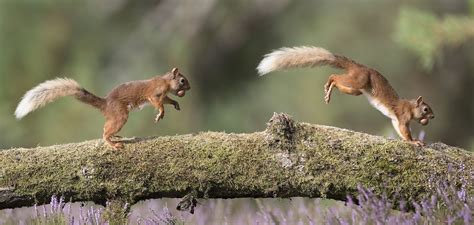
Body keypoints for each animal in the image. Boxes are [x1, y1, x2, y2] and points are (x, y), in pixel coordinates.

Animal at [14, 67, 191, 150]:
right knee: (105, 131)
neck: (166, 81)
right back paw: (112, 143)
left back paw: (115, 137)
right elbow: (158, 102)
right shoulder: (155, 94)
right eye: (182, 80)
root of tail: (105, 103)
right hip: (120, 115)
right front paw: (161, 113)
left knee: (106, 127)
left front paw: (175, 104)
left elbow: (167, 100)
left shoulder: (164, 94)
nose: (189, 88)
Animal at [258, 46, 436, 147]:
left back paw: (328, 90)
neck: (410, 107)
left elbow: (399, 130)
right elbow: (405, 130)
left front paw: (408, 140)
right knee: (335, 77)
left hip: (356, 90)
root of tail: (358, 67)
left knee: (338, 82)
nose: (433, 117)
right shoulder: (403, 116)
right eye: (426, 109)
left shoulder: (395, 120)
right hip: (358, 81)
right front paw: (414, 141)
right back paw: (328, 86)